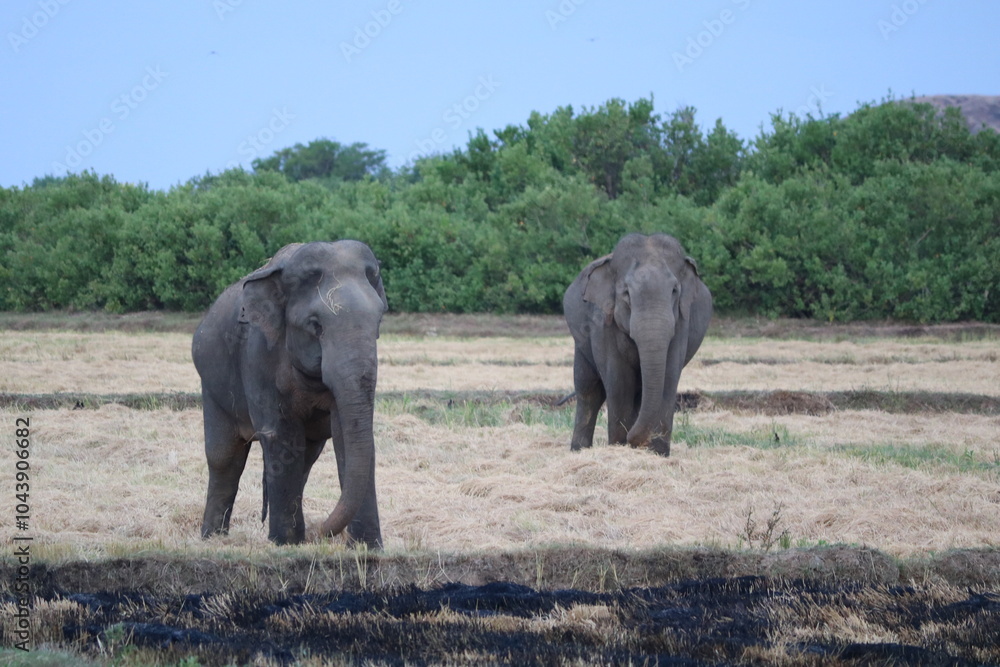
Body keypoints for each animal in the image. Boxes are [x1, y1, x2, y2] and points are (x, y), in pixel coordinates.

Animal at [192, 240, 387, 547]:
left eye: (379, 320)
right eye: (315, 325)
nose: (318, 532)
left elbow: (345, 437)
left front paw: (368, 548)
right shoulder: (258, 354)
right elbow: (280, 434)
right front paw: (283, 543)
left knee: (305, 457)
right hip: (212, 388)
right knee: (224, 456)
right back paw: (212, 538)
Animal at [563, 233, 712, 456]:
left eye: (674, 290)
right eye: (626, 293)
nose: (632, 440)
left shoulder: (681, 322)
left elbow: (669, 377)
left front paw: (658, 454)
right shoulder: (604, 324)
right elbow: (619, 381)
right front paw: (619, 446)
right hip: (581, 344)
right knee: (588, 391)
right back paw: (578, 451)